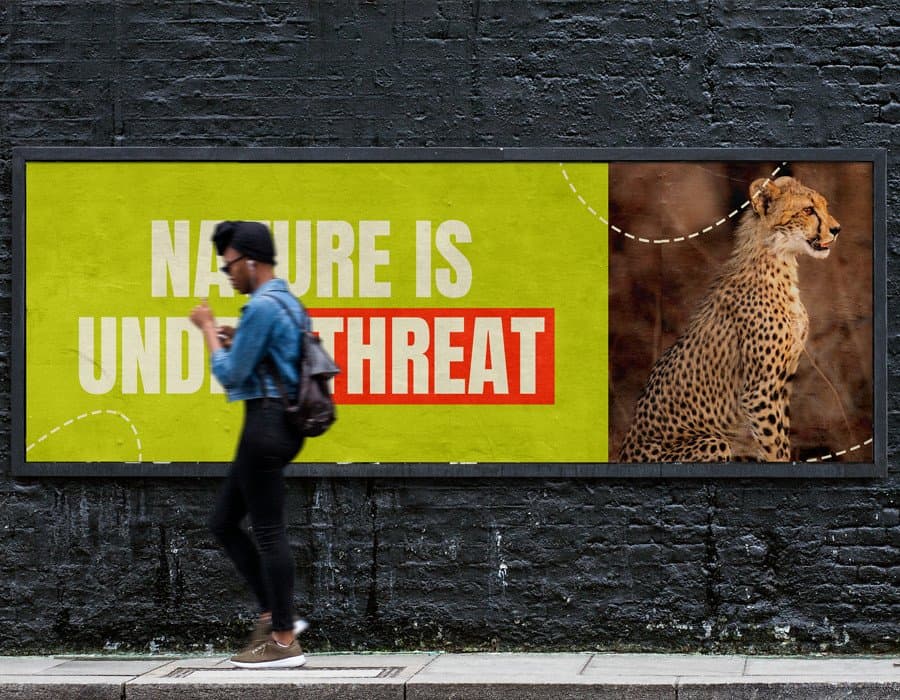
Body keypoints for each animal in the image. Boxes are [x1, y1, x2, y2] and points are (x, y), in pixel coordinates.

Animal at [618, 176, 841, 463]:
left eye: (824, 206)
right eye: (808, 210)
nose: (837, 229)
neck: (778, 261)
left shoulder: (782, 384)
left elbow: (782, 437)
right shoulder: (759, 393)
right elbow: (775, 446)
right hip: (715, 442)